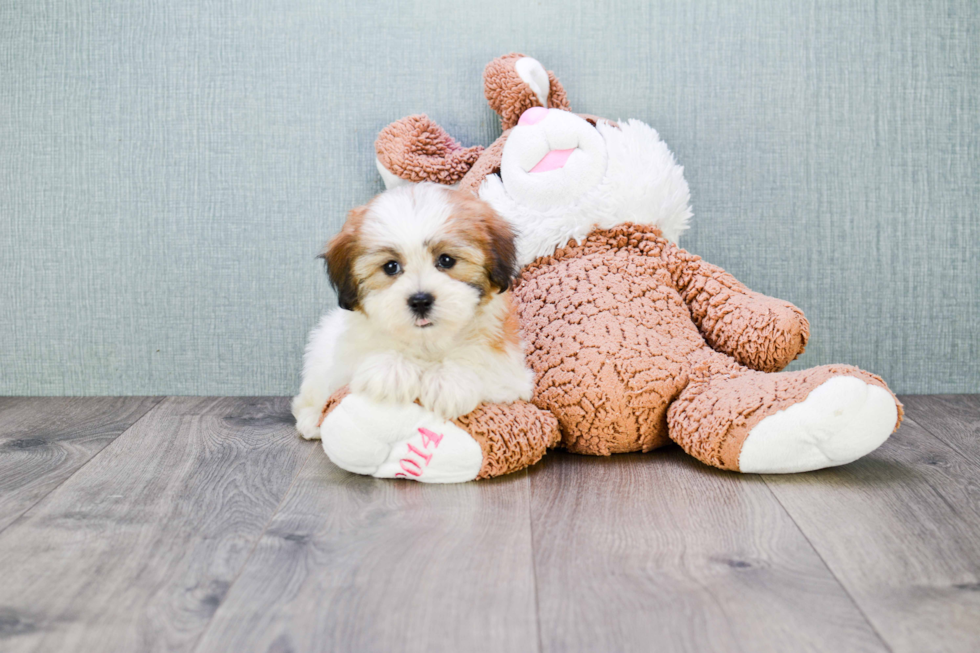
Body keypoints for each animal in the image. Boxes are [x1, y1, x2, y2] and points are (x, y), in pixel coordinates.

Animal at [290, 181, 536, 440]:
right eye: (391, 267)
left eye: (446, 260)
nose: (420, 301)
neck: (427, 341)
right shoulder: (345, 359)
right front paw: (391, 370)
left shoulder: (511, 376)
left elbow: (479, 360)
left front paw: (448, 381)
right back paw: (311, 419)